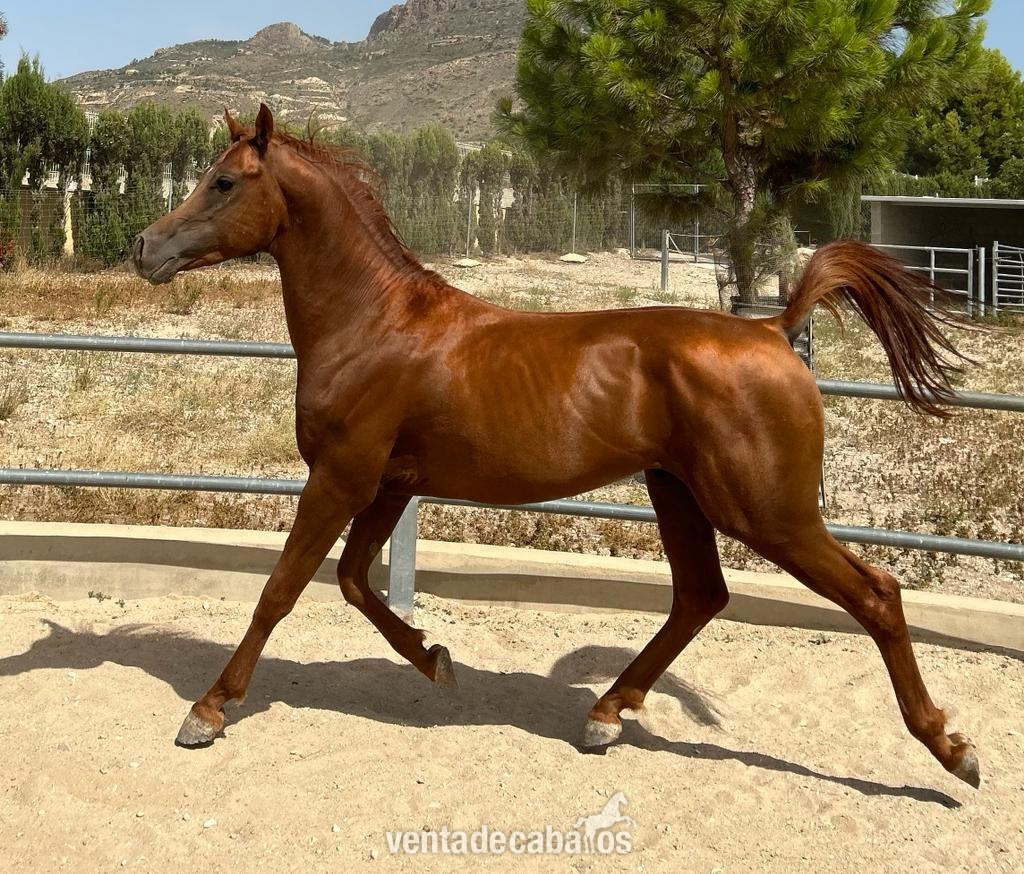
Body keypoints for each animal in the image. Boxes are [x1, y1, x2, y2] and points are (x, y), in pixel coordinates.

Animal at [133, 103, 979, 788]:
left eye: (224, 182)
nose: (145, 248)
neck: (374, 325)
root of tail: (773, 330)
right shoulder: (390, 484)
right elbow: (353, 582)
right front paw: (434, 658)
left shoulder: (342, 477)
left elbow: (283, 589)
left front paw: (208, 711)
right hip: (678, 492)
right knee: (701, 597)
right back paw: (606, 714)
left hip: (768, 513)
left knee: (875, 594)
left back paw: (952, 750)